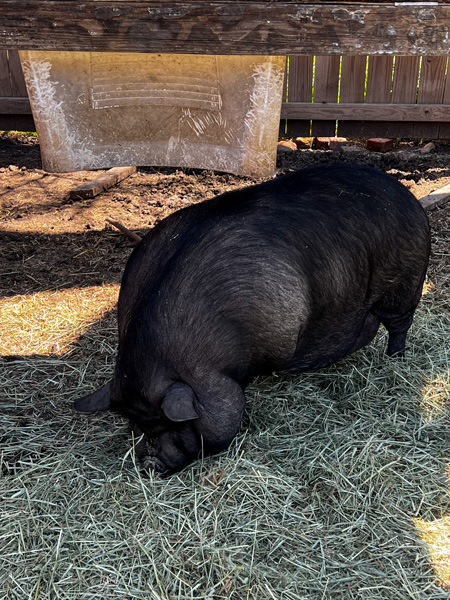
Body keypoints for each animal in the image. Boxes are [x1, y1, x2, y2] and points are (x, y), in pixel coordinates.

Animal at [75, 163, 430, 474]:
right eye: (136, 425)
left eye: (170, 425)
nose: (149, 464)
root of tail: (405, 194)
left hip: (405, 284)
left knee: (400, 325)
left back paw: (395, 360)